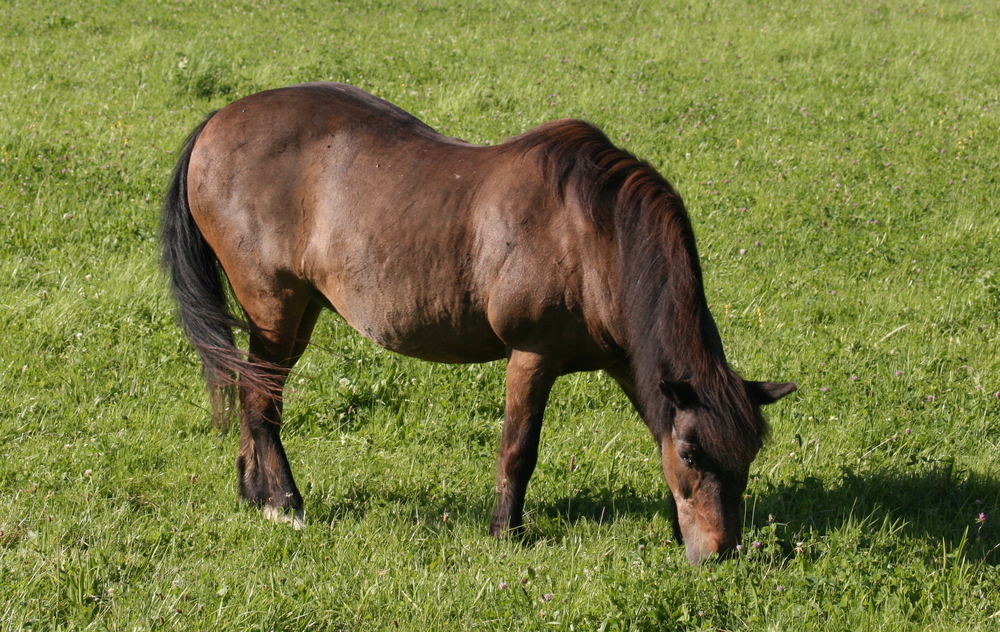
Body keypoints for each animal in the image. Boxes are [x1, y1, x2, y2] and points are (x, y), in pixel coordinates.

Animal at [160, 82, 792, 564]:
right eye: (692, 454)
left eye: (747, 459)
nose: (720, 553)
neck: (595, 238)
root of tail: (218, 121)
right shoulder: (533, 357)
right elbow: (518, 450)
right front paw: (505, 532)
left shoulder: (624, 363)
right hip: (275, 306)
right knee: (261, 403)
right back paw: (284, 503)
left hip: (296, 315)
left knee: (255, 391)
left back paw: (253, 492)